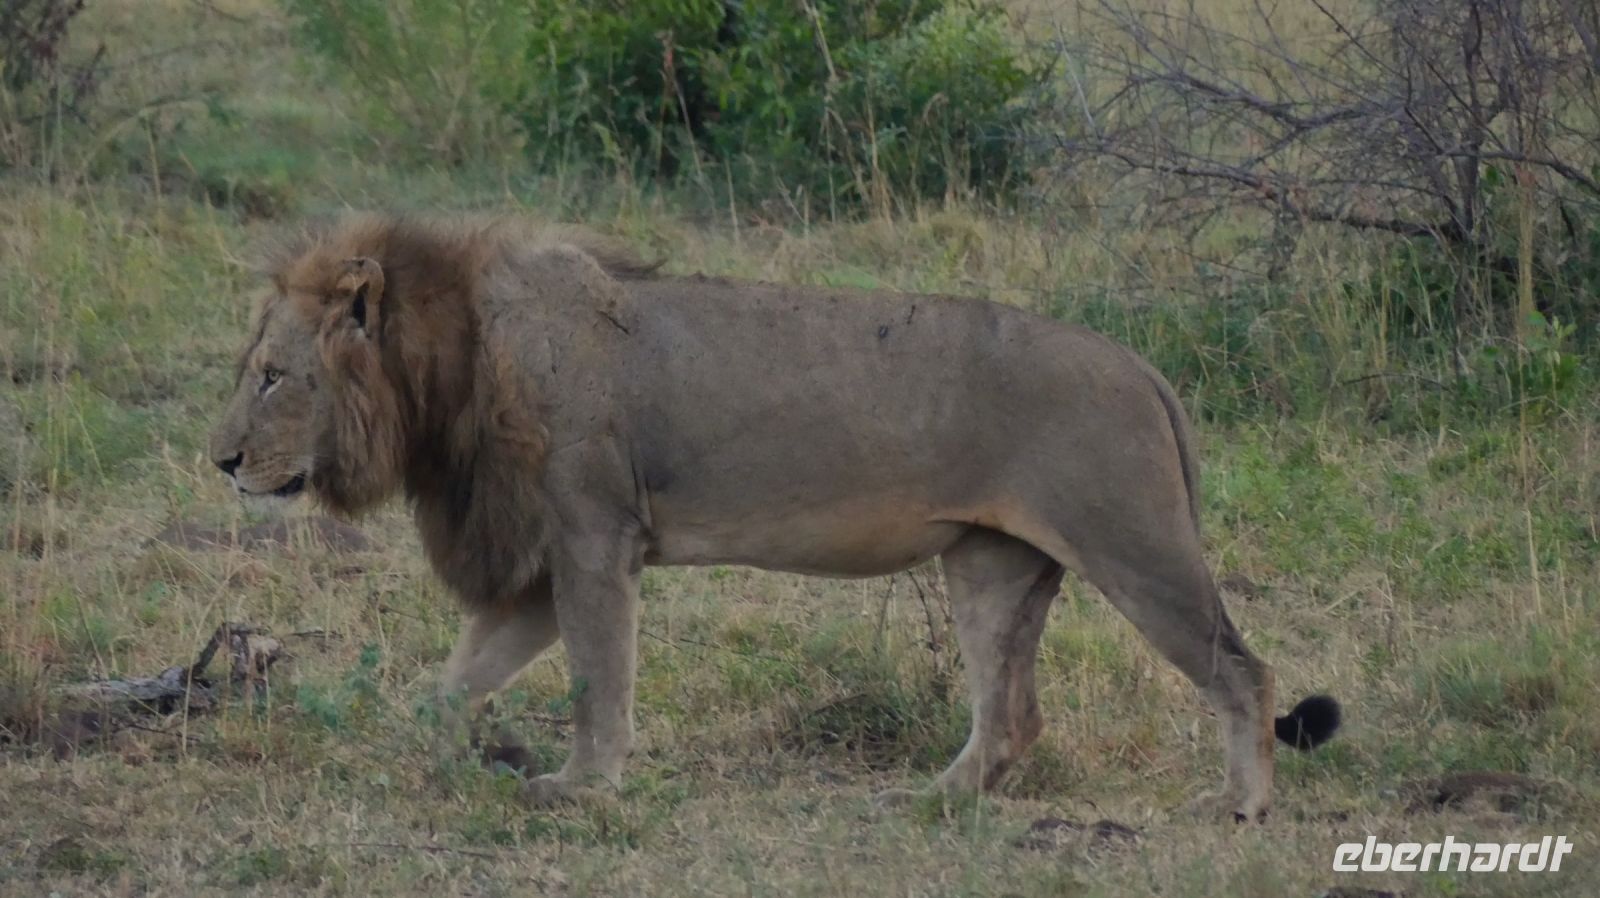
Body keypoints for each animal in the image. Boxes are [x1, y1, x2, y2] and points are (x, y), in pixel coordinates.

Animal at [208, 214, 1339, 820]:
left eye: (272, 376)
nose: (221, 461)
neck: (451, 369)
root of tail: (1145, 369)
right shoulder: (537, 563)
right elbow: (453, 682)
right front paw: (444, 757)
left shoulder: (592, 537)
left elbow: (597, 678)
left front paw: (582, 784)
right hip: (992, 565)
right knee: (1012, 714)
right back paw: (927, 802)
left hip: (1131, 543)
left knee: (1242, 670)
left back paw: (1239, 805)